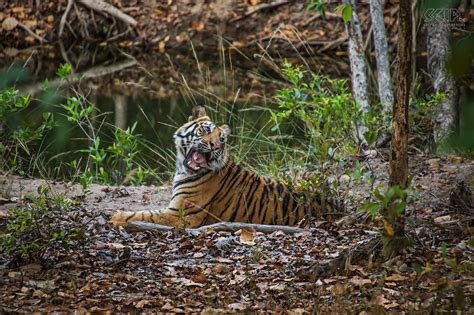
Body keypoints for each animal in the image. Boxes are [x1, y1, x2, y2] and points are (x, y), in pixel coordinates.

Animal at [109, 107, 342, 228]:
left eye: (221, 139)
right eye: (205, 131)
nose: (215, 145)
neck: (183, 168)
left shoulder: (181, 214)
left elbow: (142, 215)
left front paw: (116, 216)